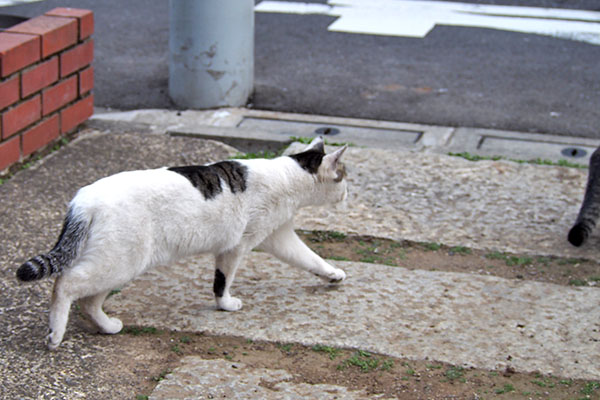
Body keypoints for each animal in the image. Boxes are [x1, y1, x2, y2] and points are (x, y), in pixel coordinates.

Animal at [17, 138, 346, 350]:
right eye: (344, 177)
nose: (348, 193)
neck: (289, 176)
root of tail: (83, 200)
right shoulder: (235, 248)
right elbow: (222, 282)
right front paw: (226, 305)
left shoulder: (280, 237)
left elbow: (311, 258)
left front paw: (333, 275)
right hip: (119, 263)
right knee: (66, 284)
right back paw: (55, 334)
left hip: (117, 264)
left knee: (88, 301)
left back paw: (108, 327)